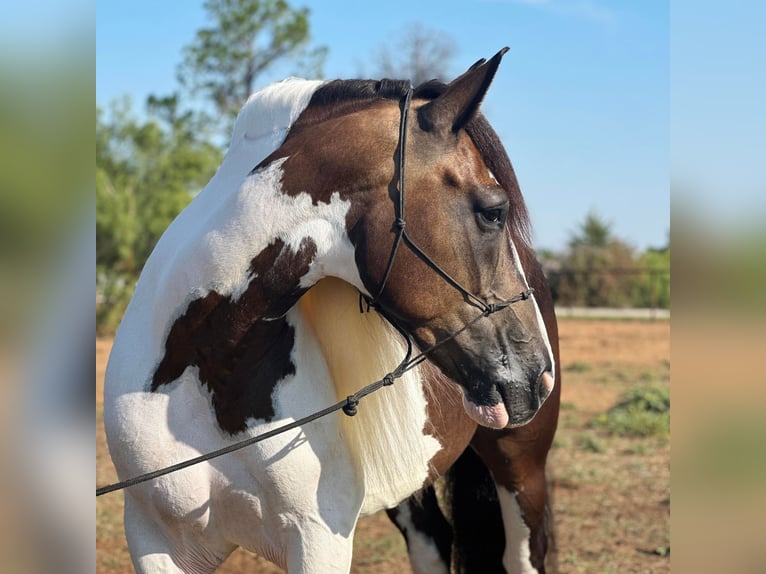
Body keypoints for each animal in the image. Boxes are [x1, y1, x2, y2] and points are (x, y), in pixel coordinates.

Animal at [105, 49, 560, 574]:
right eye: (493, 211)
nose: (540, 373)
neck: (205, 367)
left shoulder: (319, 539)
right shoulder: (153, 540)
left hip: (522, 469)